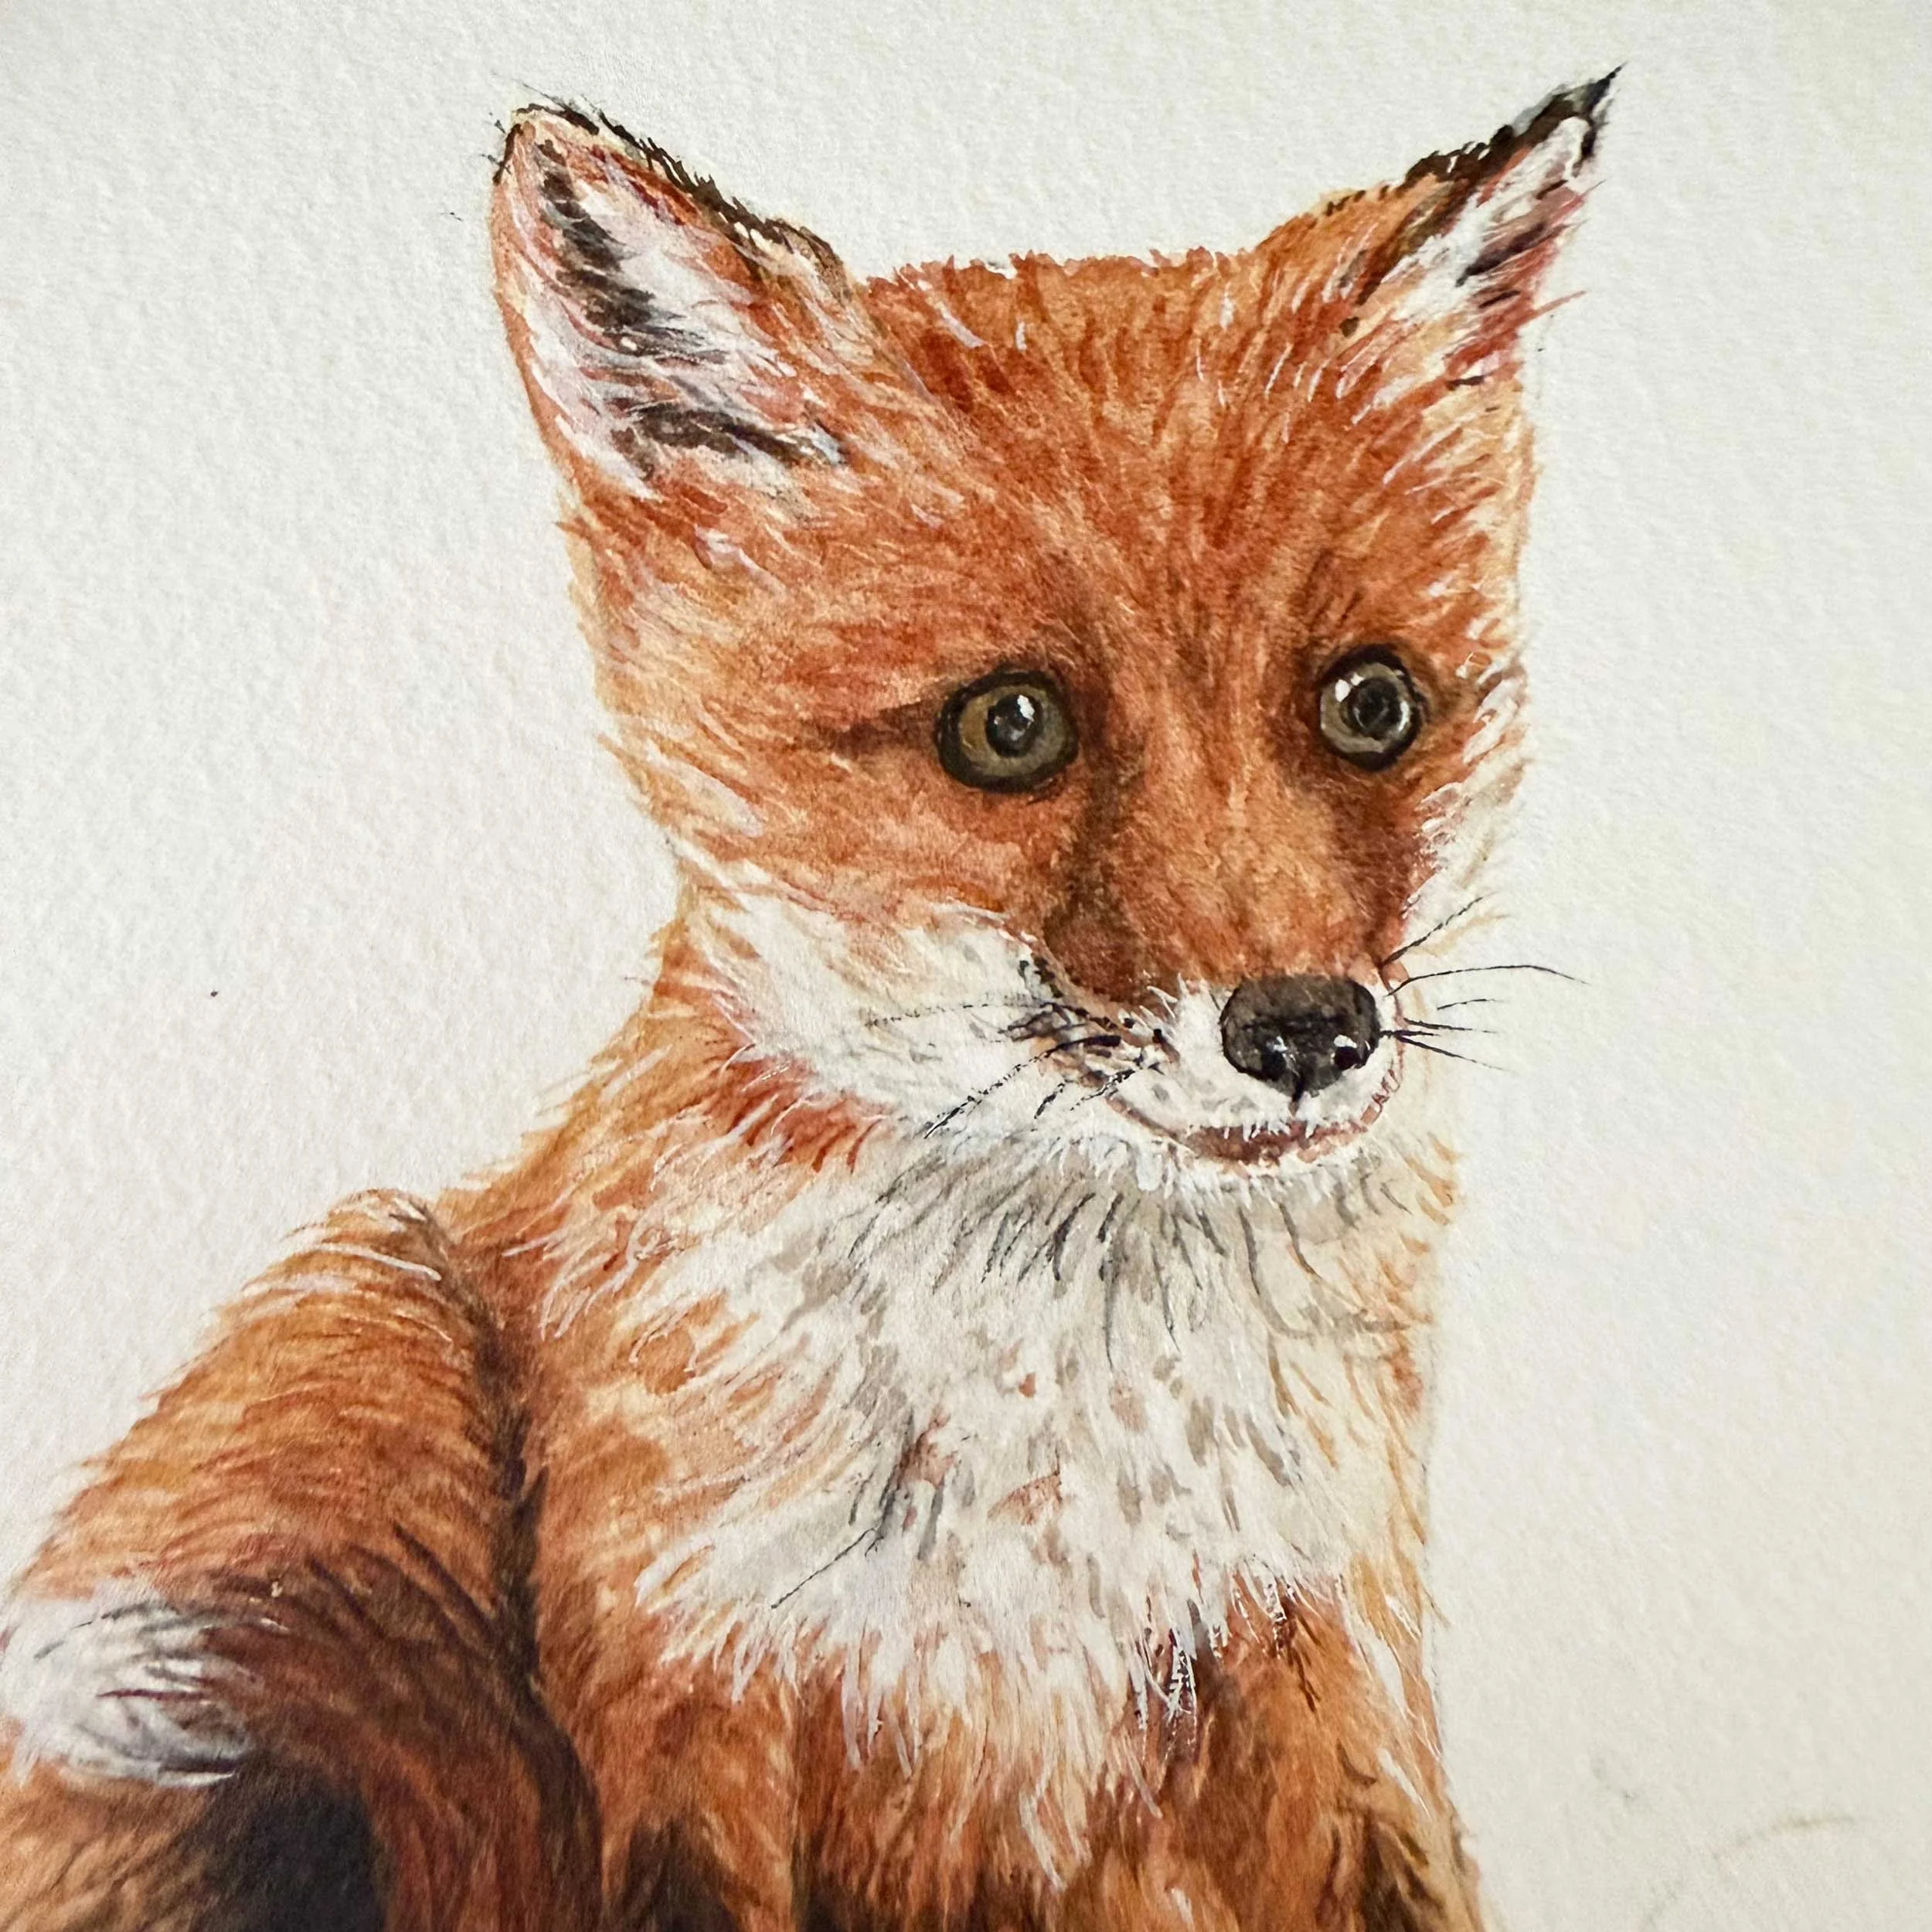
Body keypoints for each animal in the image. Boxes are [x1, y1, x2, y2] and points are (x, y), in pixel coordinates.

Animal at [0, 74, 1610, 1932]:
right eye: (1008, 728)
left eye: (1370, 705)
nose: (1306, 1033)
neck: (1061, 1481)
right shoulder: (691, 1690)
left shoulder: (1316, 1662)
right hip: (347, 1339)